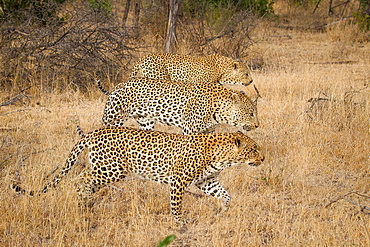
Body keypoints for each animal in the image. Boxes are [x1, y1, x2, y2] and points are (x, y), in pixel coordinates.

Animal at [10, 126, 264, 225]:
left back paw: (87, 206)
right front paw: (179, 222)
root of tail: (94, 131)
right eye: (253, 150)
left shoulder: (206, 181)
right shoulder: (178, 180)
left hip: (105, 170)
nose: (263, 159)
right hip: (111, 170)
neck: (222, 157)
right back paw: (83, 204)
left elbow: (226, 195)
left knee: (86, 182)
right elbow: (176, 204)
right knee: (79, 179)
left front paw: (222, 210)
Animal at [99, 77, 258, 134]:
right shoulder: (189, 129)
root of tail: (119, 84)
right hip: (113, 118)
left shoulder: (208, 130)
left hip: (146, 122)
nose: (257, 125)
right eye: (250, 113)